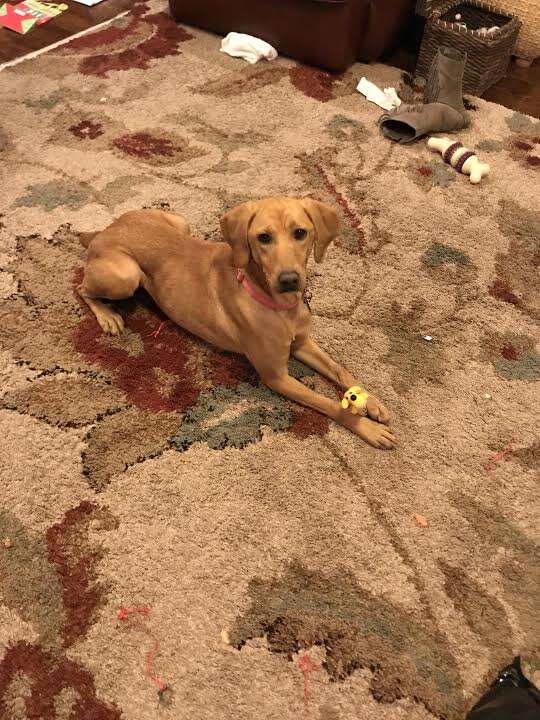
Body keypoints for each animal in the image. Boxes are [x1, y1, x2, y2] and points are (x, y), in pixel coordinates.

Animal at [78, 194, 394, 448]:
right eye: (263, 238)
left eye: (300, 233)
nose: (289, 280)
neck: (280, 307)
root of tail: (104, 230)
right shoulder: (276, 377)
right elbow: (327, 403)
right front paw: (367, 427)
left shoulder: (302, 343)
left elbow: (341, 370)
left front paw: (373, 403)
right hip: (125, 275)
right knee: (82, 288)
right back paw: (107, 316)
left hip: (180, 222)